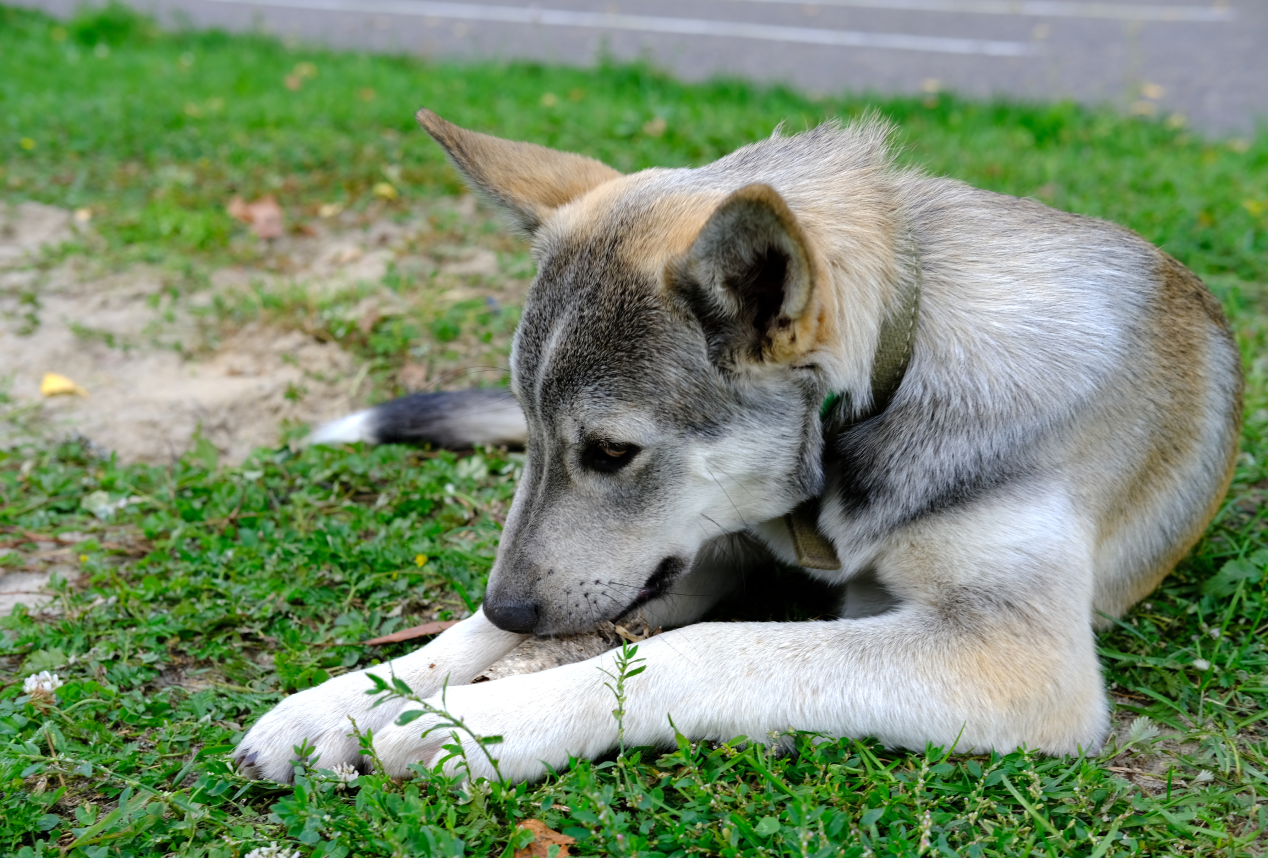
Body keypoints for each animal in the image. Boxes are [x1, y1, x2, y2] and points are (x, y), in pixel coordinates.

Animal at [233, 108, 1242, 780]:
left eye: (611, 451)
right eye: (532, 435)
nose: (516, 608)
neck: (886, 386)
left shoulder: (1018, 654)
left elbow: (709, 652)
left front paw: (478, 723)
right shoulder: (706, 547)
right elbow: (465, 636)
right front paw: (343, 702)